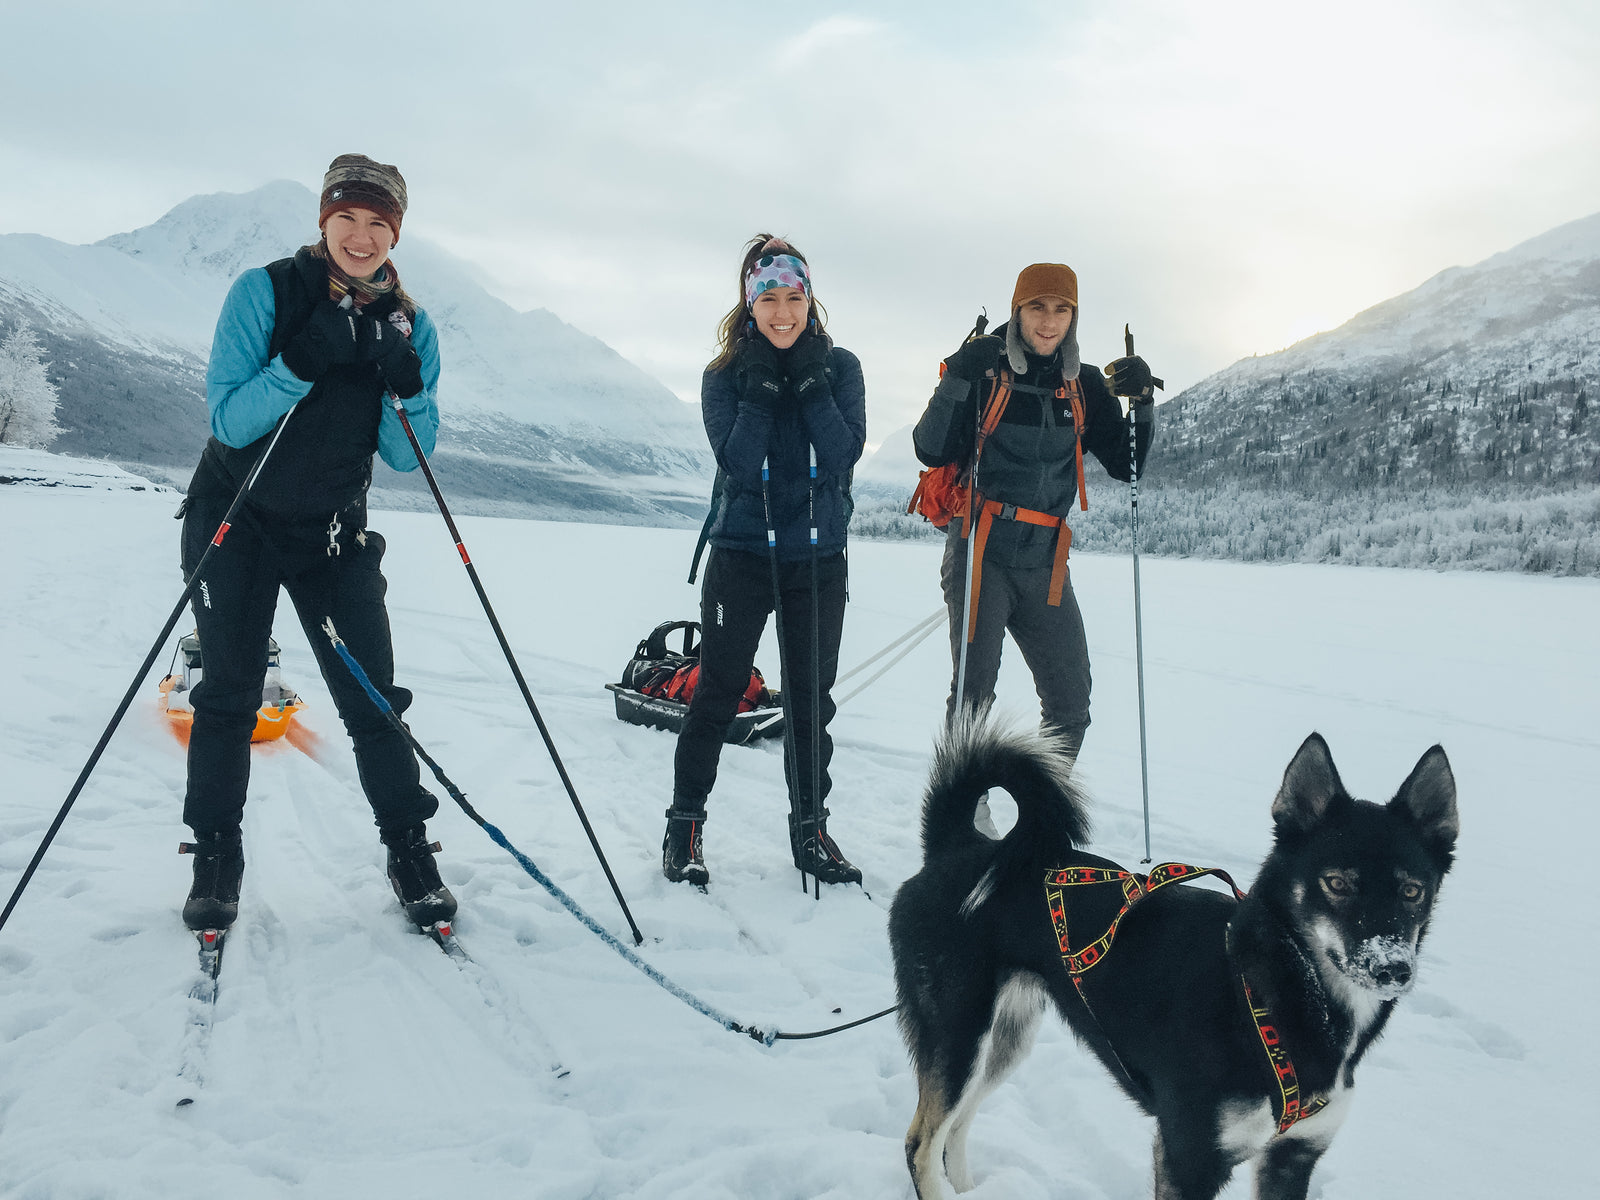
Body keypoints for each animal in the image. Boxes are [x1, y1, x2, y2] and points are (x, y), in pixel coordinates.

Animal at [889, 720, 1465, 1196]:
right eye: (1338, 884)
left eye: (1412, 891)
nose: (1391, 968)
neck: (1263, 991)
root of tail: (958, 848)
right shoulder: (1190, 1157)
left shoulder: (1292, 1157)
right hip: (959, 1034)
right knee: (922, 1143)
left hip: (1005, 1039)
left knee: (958, 1126)